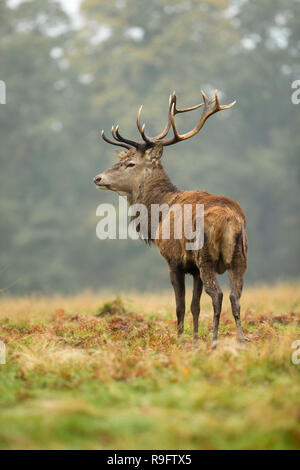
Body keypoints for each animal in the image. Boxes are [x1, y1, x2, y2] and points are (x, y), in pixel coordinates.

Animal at [94, 90, 248, 346]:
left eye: (130, 163)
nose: (98, 178)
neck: (158, 216)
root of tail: (230, 220)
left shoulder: (174, 260)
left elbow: (180, 306)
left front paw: (179, 341)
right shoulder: (193, 269)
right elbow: (195, 307)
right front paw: (194, 341)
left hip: (205, 254)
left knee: (218, 295)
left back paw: (215, 341)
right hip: (239, 255)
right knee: (235, 297)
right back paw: (242, 341)